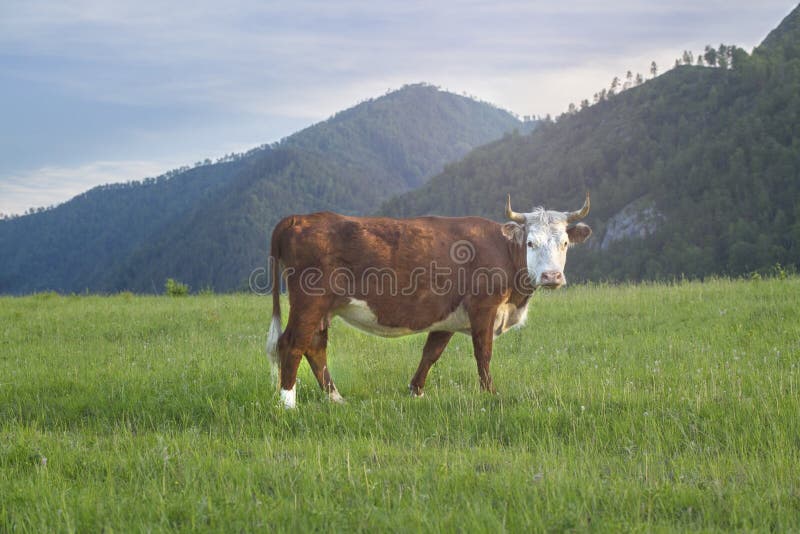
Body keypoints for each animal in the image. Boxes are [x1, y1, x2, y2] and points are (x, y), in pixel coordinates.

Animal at [266, 195, 592, 408]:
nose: (551, 276)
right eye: (530, 243)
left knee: (315, 347)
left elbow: (431, 353)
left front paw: (416, 391)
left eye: (564, 242)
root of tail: (300, 218)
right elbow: (483, 353)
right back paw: (288, 402)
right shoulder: (484, 308)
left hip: (325, 308)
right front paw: (490, 394)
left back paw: (336, 398)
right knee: (292, 343)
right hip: (310, 301)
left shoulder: (447, 316)